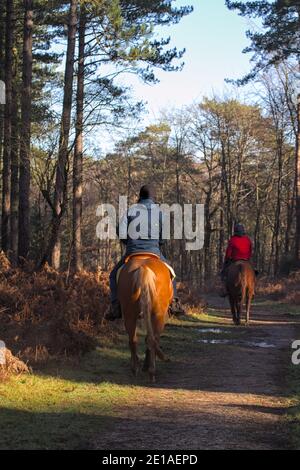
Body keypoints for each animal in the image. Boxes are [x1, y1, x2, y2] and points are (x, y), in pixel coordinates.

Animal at [118, 253, 173, 382]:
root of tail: (143, 268)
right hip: (158, 315)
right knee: (153, 338)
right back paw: (151, 371)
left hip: (129, 315)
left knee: (133, 340)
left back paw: (136, 369)